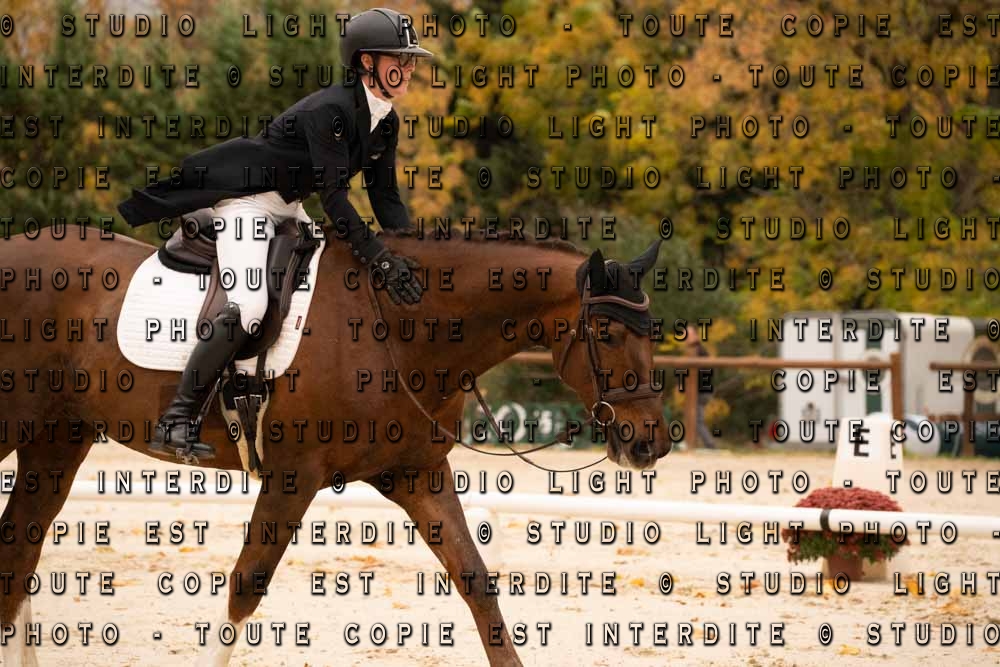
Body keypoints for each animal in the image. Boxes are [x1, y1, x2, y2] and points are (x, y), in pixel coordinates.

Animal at [0, 223, 671, 666]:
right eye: (608, 332)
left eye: (650, 331)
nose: (651, 444)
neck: (399, 331)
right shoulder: (292, 477)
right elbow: (244, 589)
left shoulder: (418, 474)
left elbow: (478, 584)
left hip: (58, 441)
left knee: (18, 553)